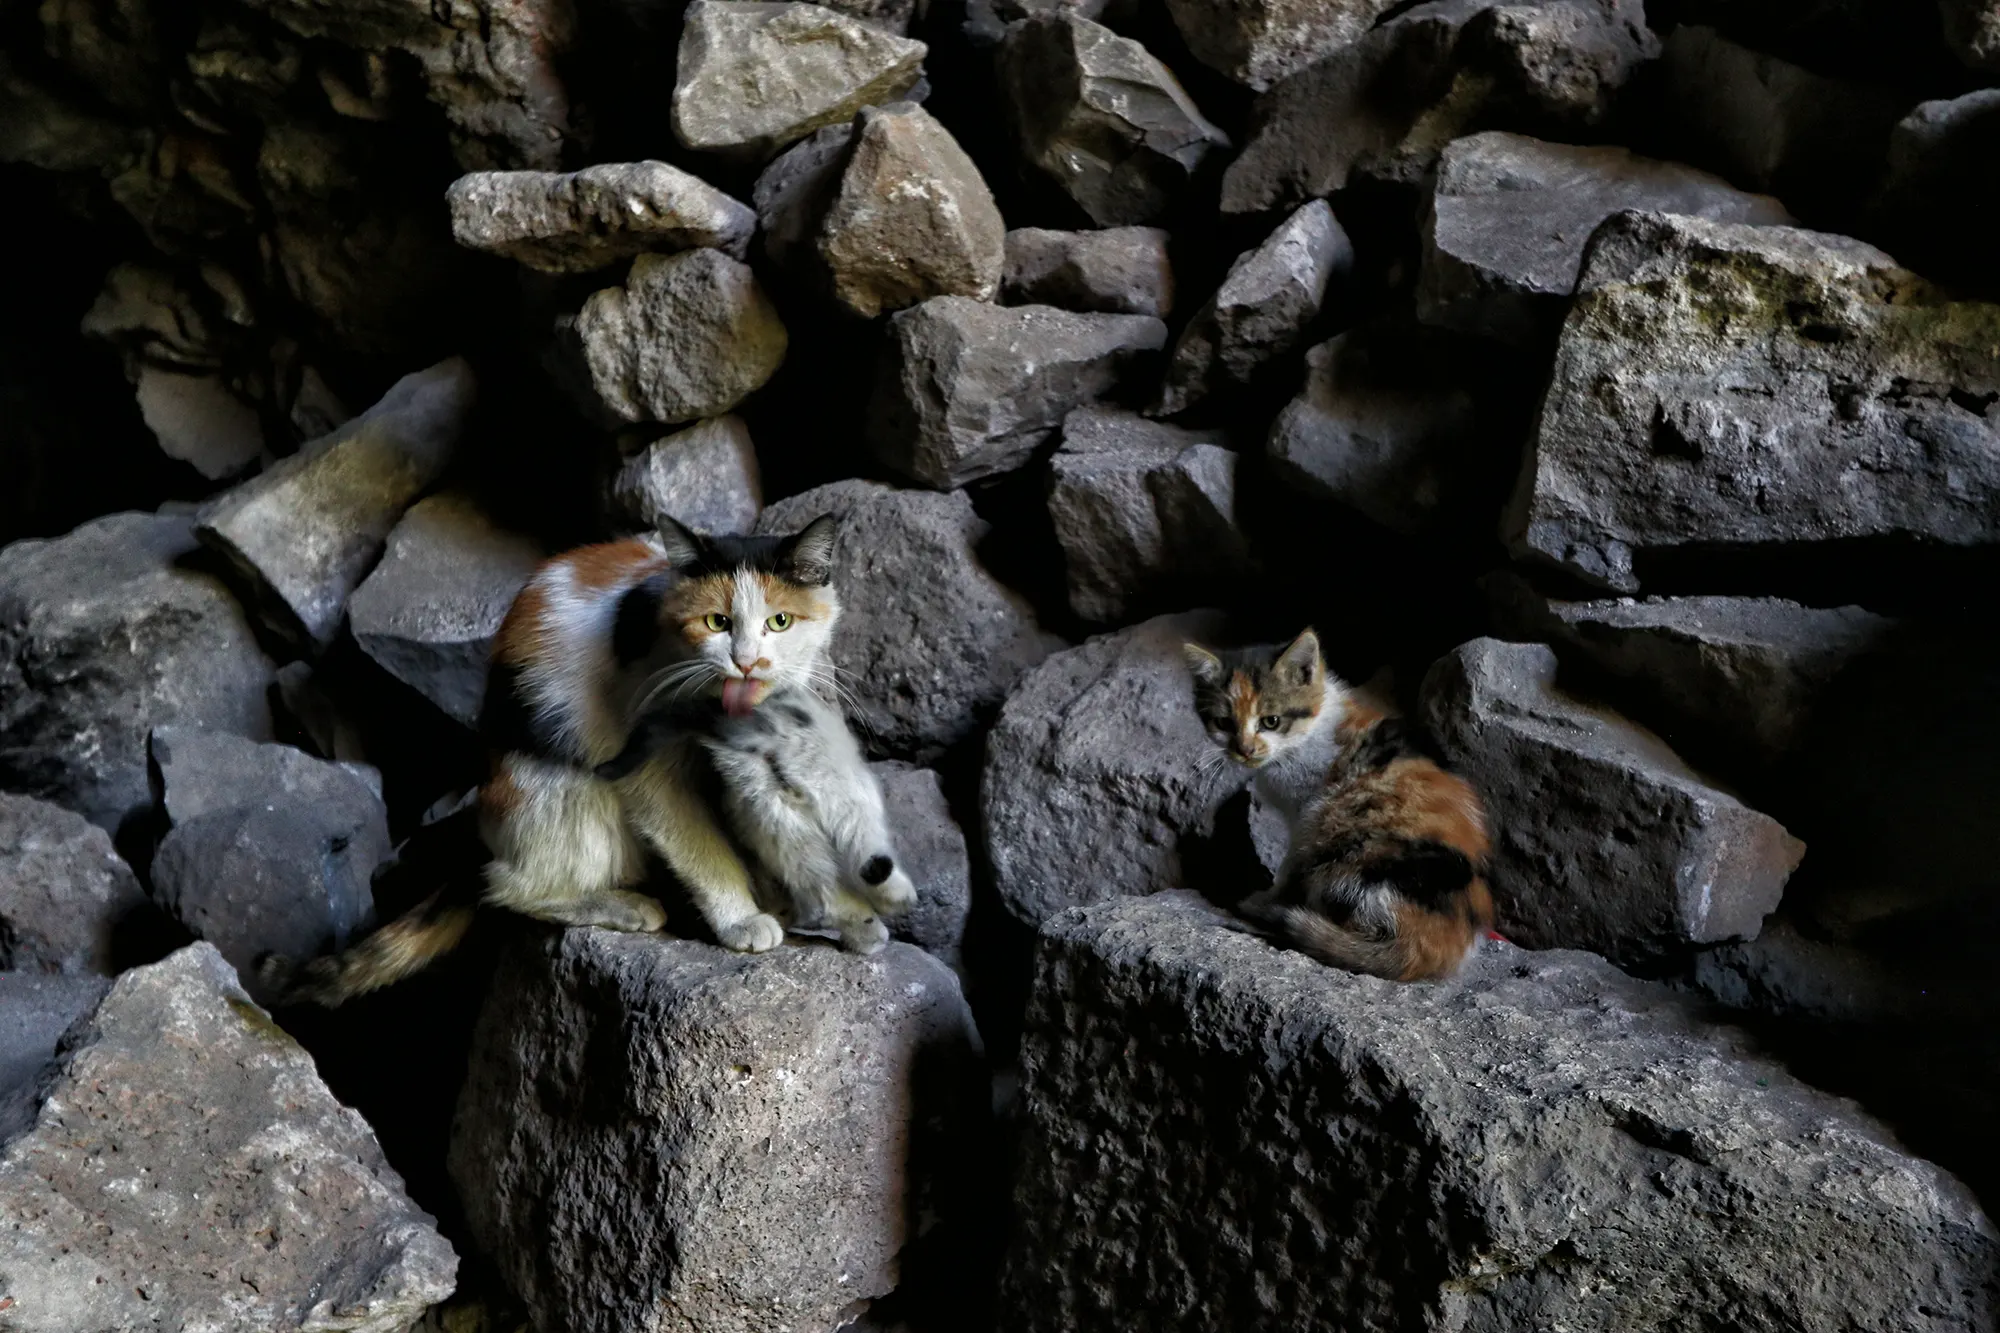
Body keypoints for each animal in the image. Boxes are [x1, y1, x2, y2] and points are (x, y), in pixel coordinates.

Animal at [276, 508, 852, 996]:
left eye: (780, 622)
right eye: (716, 623)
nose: (747, 662)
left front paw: (787, 894)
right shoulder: (646, 766)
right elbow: (699, 843)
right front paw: (741, 918)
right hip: (562, 783)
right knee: (505, 887)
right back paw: (624, 906)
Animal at [1176, 624, 1496, 976]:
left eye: (1271, 721)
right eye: (1224, 723)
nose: (1244, 750)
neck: (1303, 738)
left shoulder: (1307, 813)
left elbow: (1290, 863)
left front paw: (1268, 896)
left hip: (1343, 843)